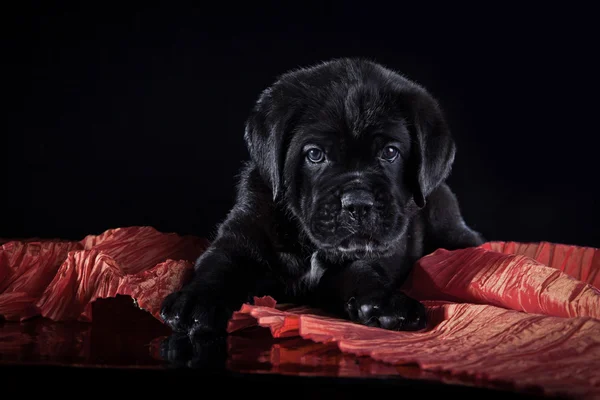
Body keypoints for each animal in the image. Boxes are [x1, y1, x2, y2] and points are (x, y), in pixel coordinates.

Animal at [159, 57, 482, 338]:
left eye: (390, 152)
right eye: (315, 154)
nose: (357, 204)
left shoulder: (373, 251)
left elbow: (365, 271)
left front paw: (387, 304)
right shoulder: (242, 234)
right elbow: (219, 264)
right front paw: (196, 301)